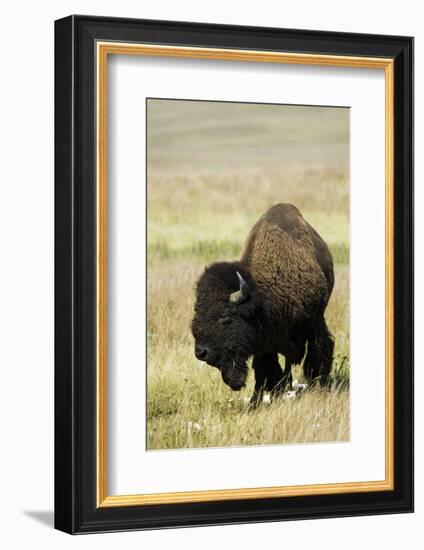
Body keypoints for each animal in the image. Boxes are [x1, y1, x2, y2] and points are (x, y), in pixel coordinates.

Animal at [192, 205, 334, 408]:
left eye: (225, 319)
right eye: (196, 312)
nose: (201, 352)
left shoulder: (314, 323)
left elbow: (317, 353)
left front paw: (319, 387)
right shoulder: (265, 342)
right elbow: (265, 371)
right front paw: (257, 402)